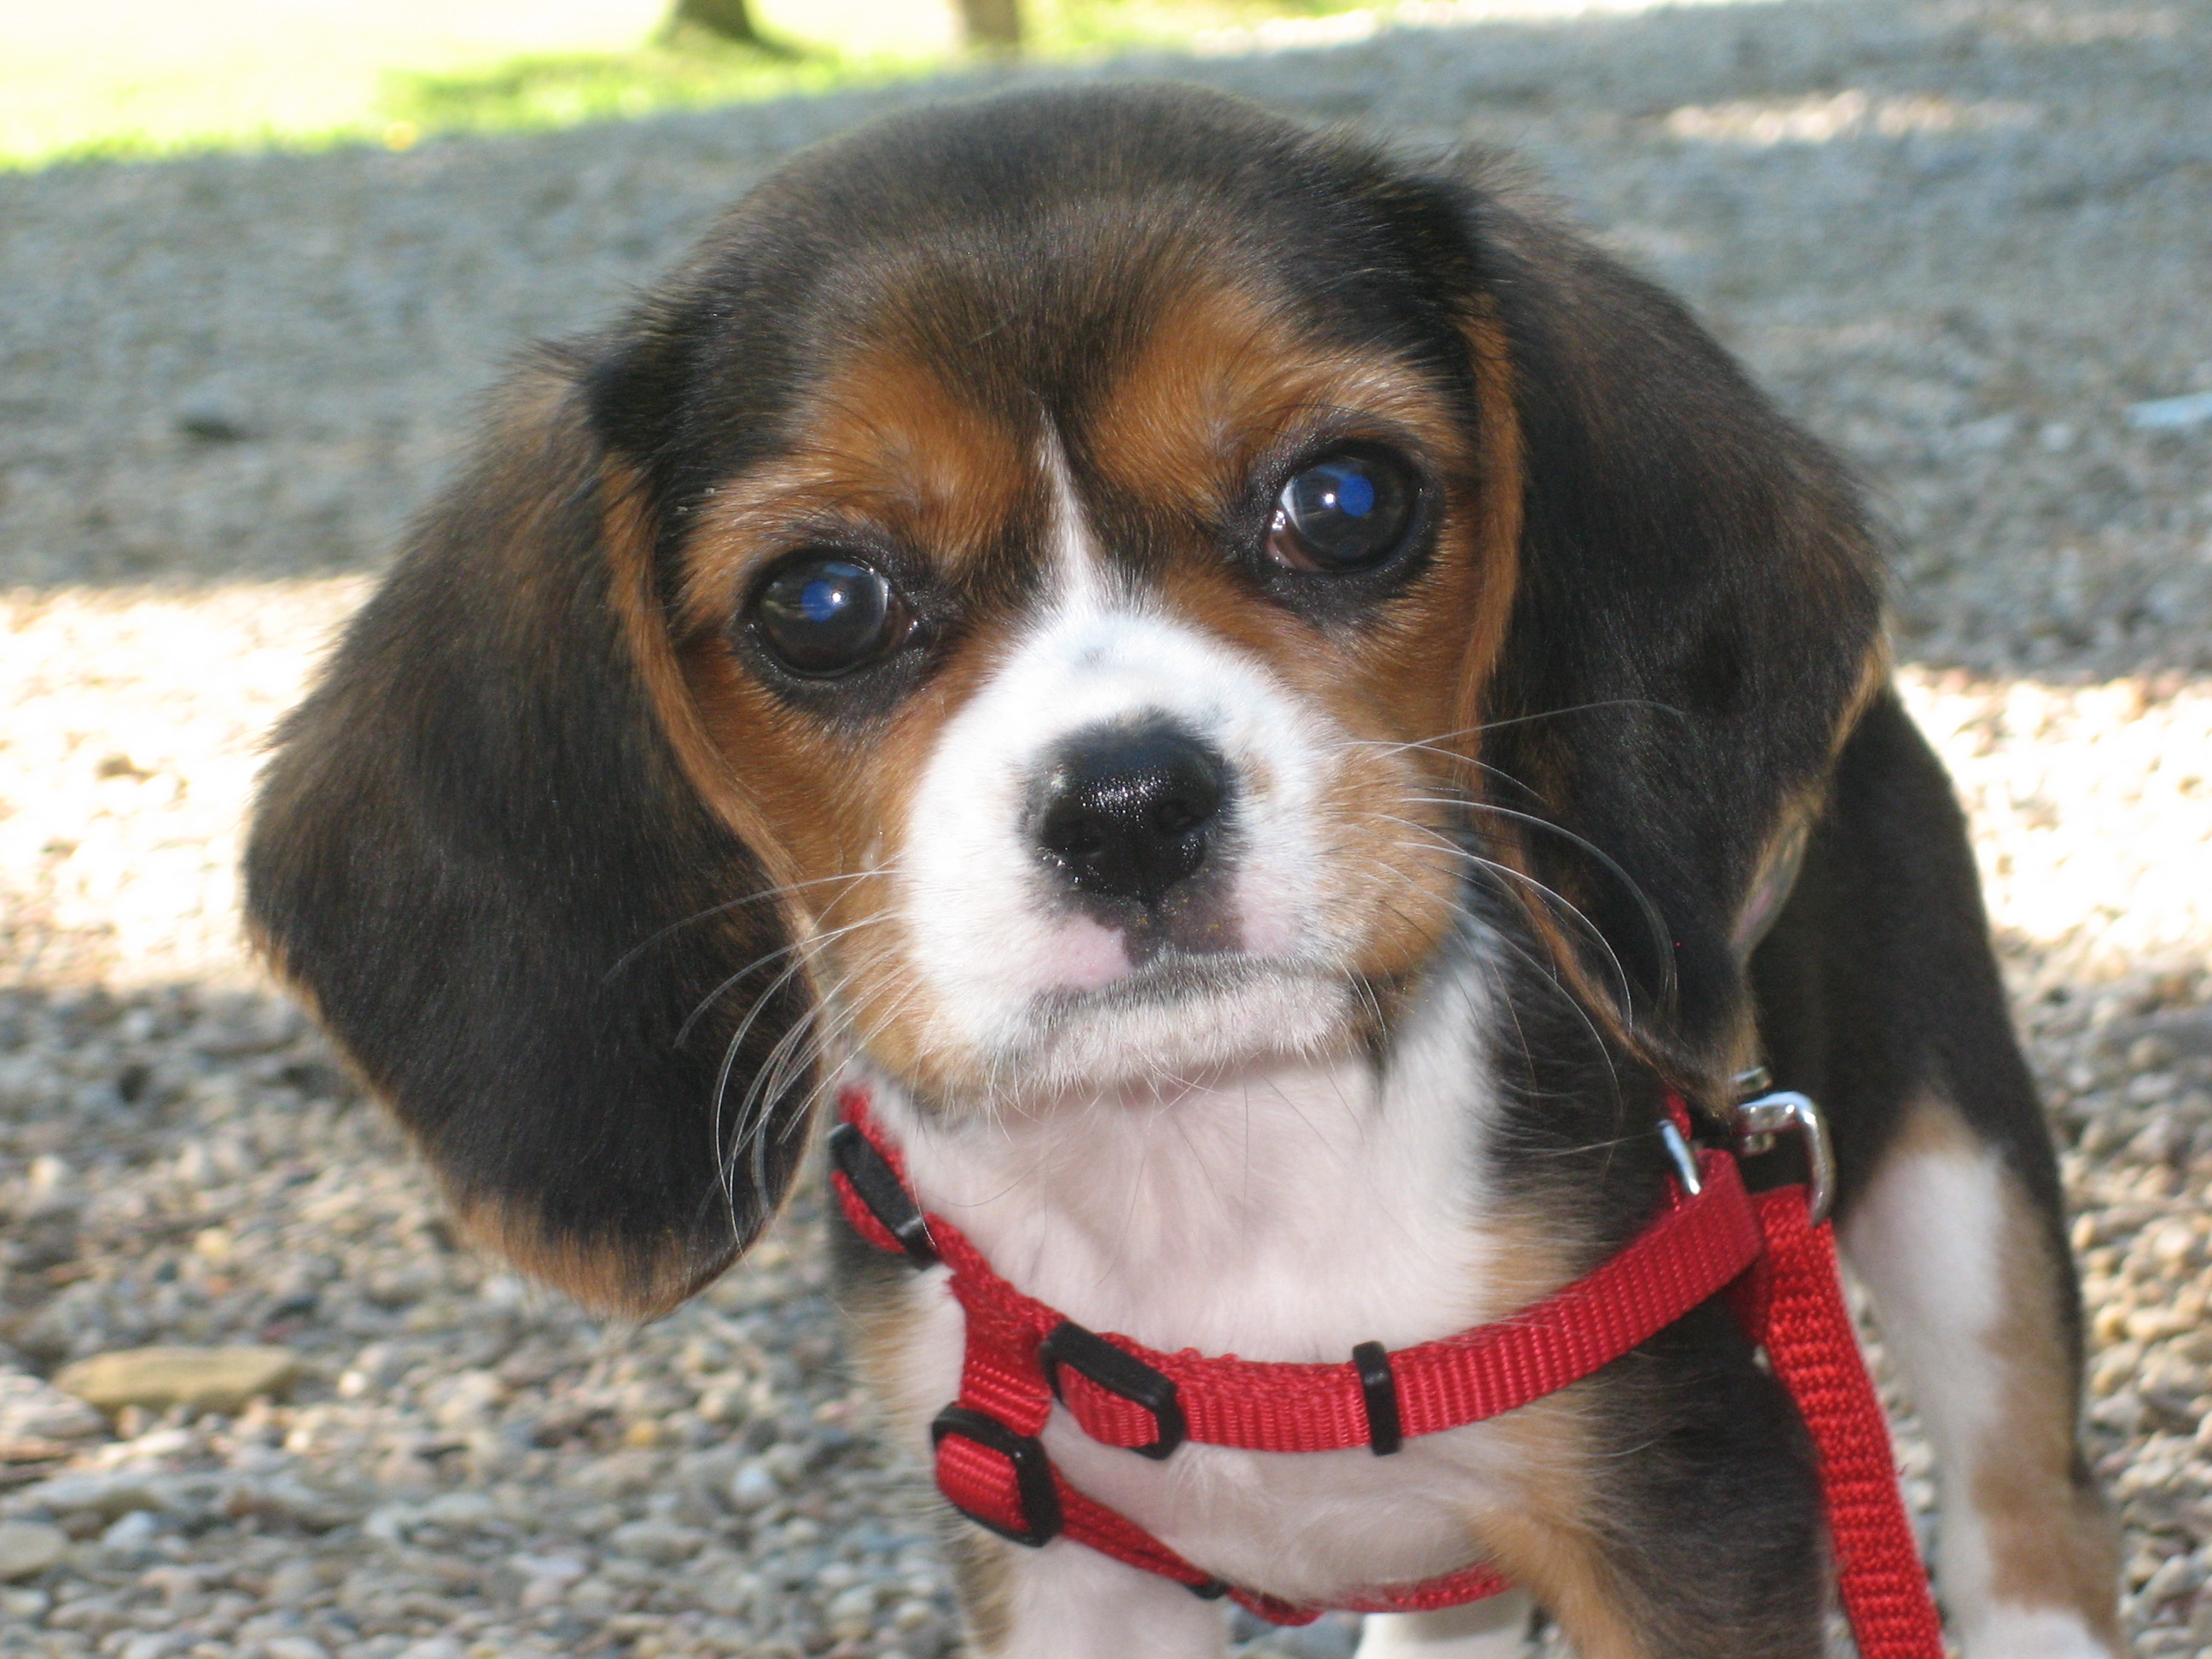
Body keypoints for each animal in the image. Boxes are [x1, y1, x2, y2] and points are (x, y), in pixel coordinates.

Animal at [247, 88, 2123, 1659]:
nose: (1131, 805)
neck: (1208, 1171)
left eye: (1345, 497)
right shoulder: (1058, 1564)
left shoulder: (1690, 1502)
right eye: (821, 603)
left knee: (2024, 1497)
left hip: (1944, 1170)